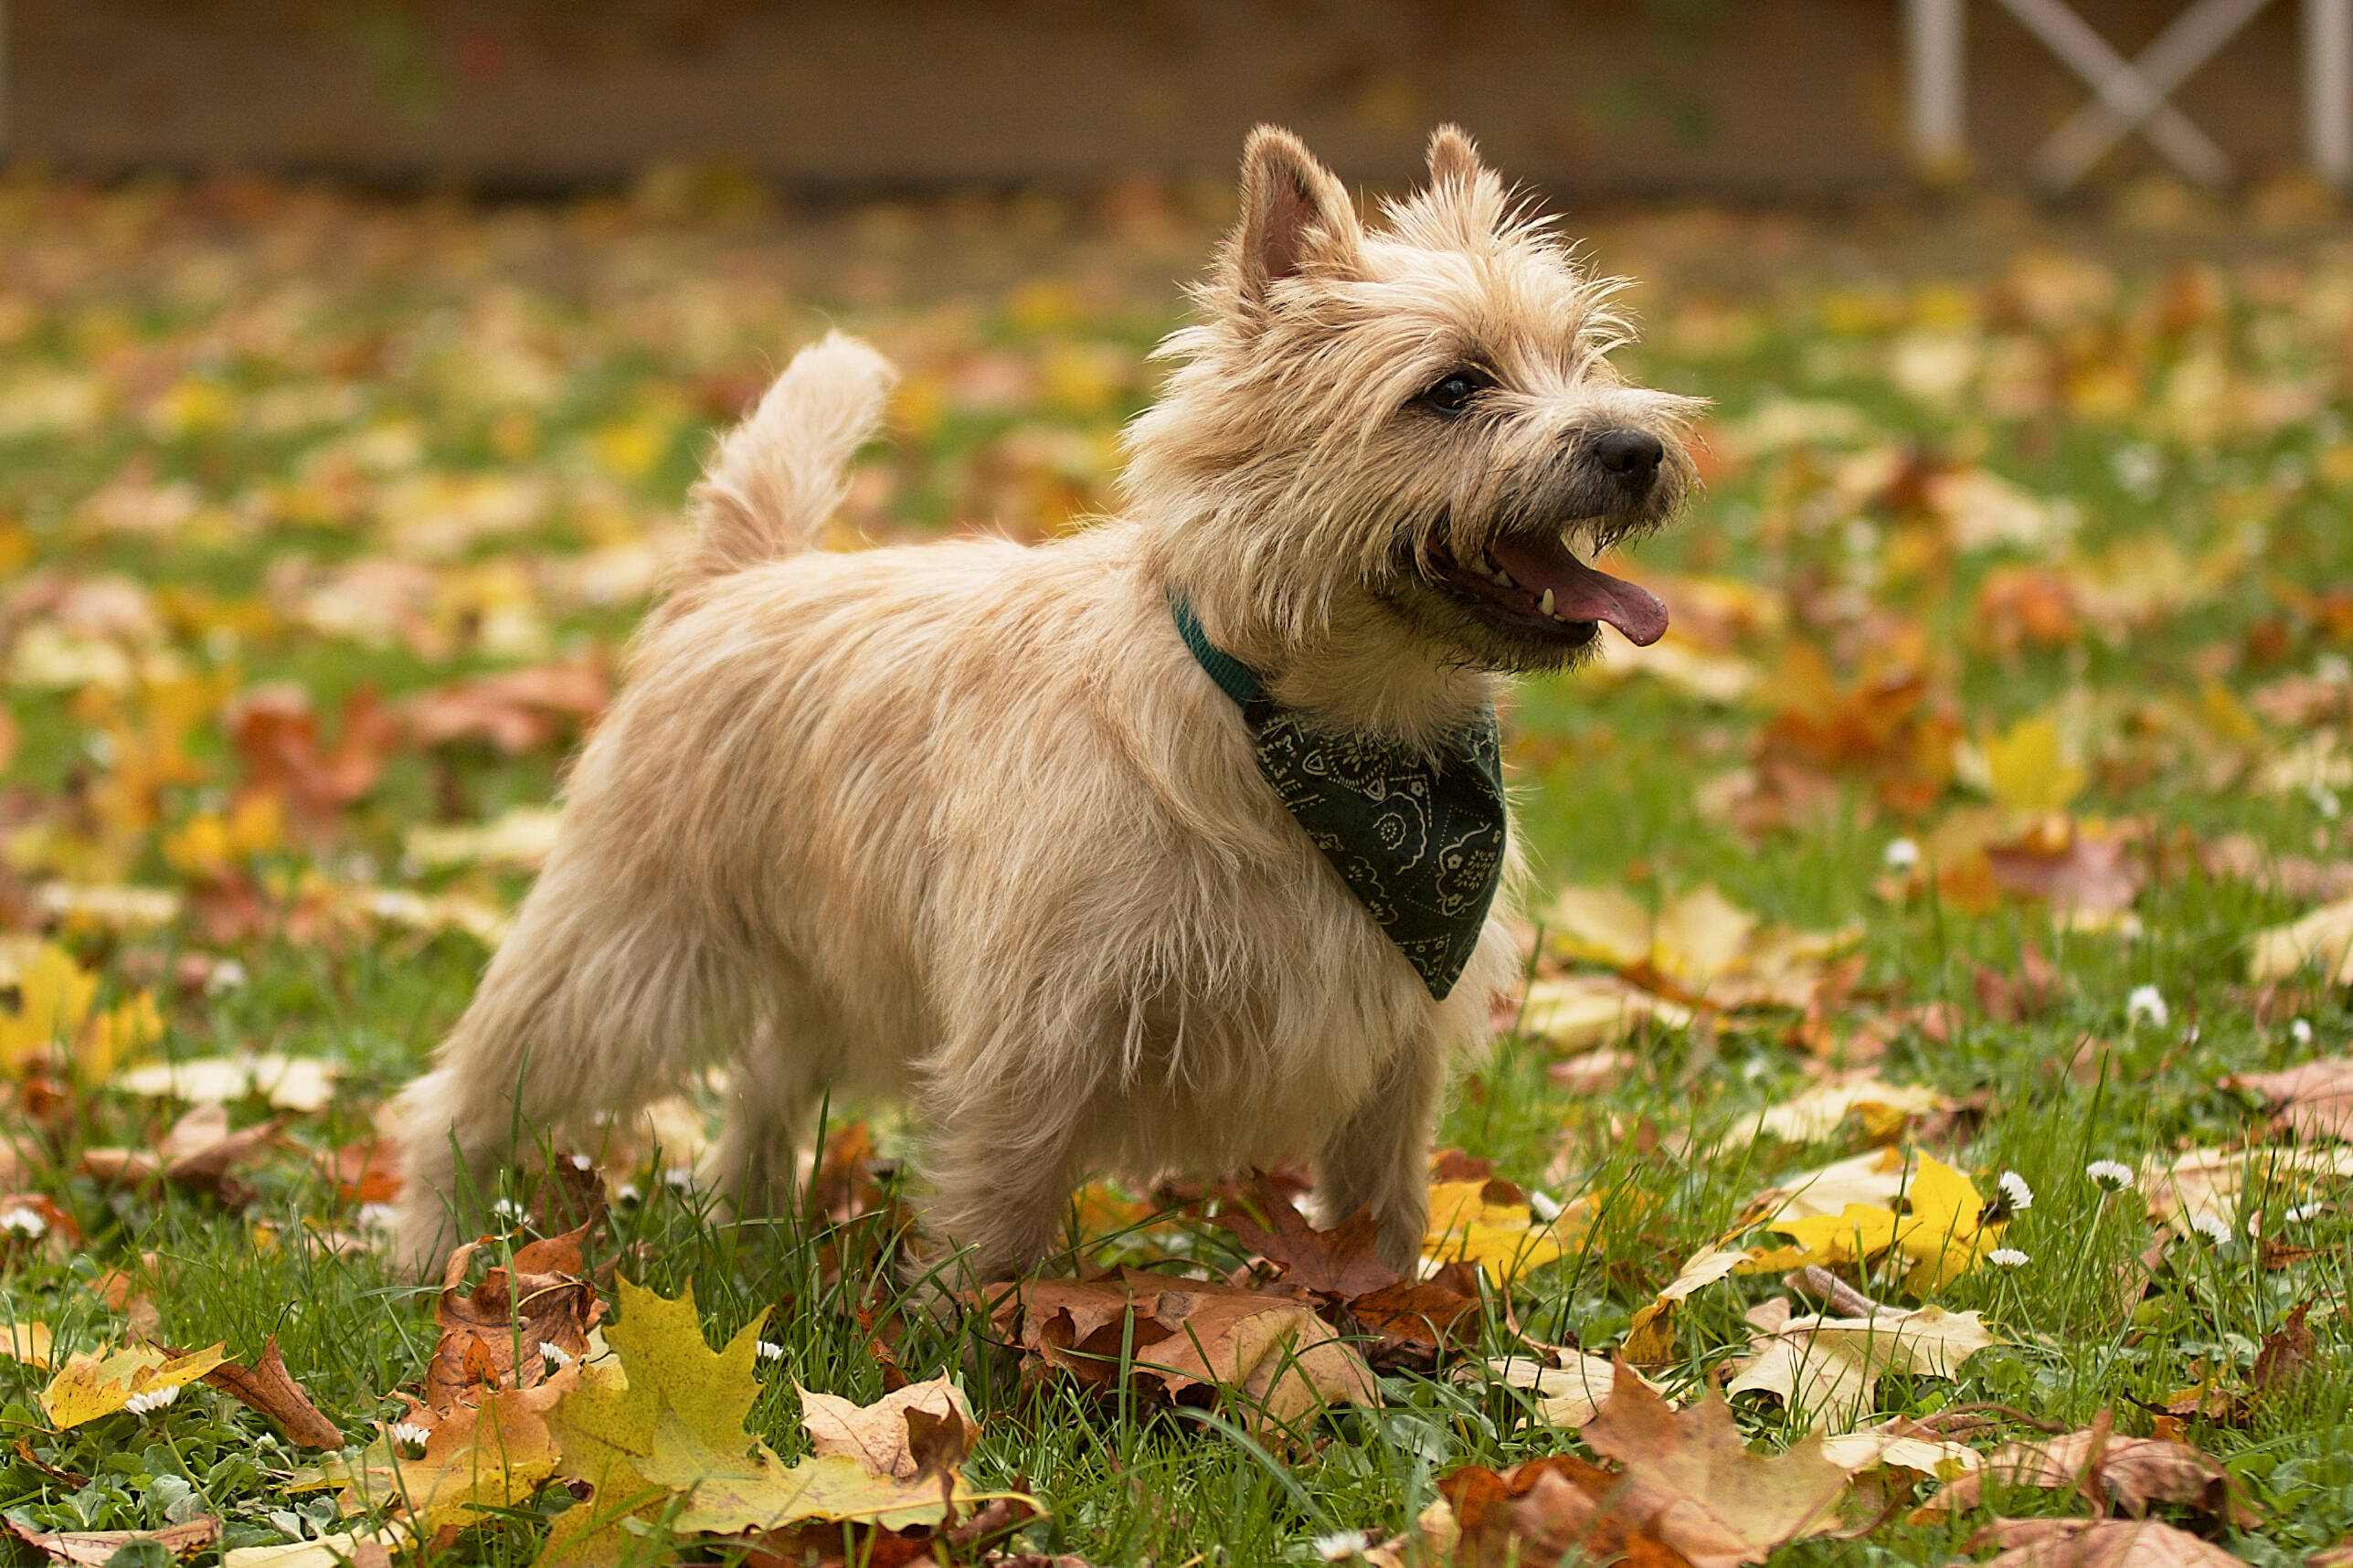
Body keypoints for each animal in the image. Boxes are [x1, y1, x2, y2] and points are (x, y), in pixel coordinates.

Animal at [395, 128, 1703, 1280]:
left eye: (1584, 360)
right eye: (1451, 389)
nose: (1634, 446)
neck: (1326, 736)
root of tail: (738, 577)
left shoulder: (1395, 1052)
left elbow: (1380, 1207)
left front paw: (1391, 1331)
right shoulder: (1036, 1035)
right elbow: (998, 1219)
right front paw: (972, 1366)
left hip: (825, 966)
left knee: (763, 1084)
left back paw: (751, 1229)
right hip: (622, 952)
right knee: (465, 1096)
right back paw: (425, 1257)